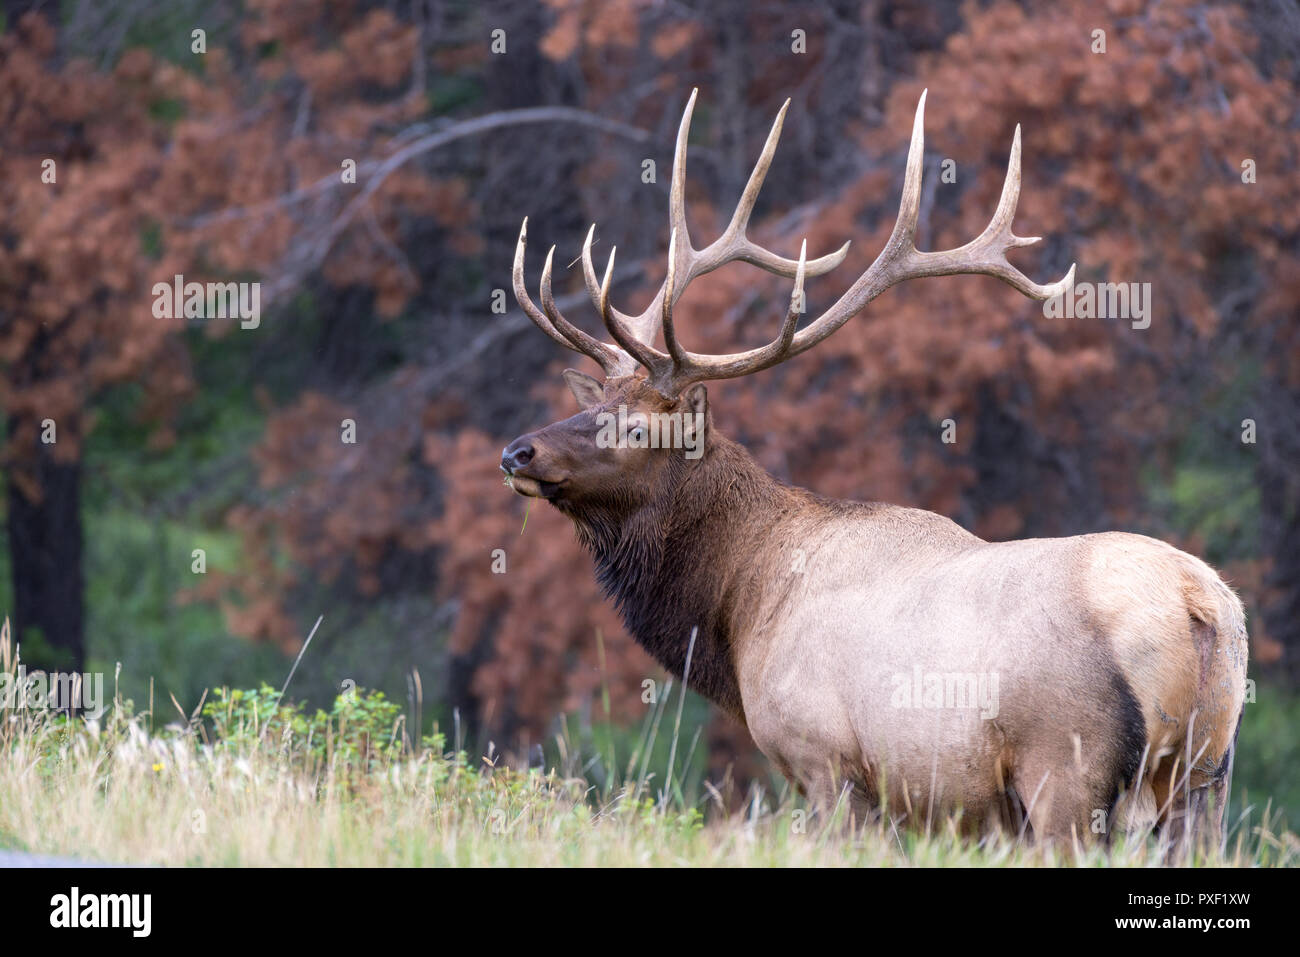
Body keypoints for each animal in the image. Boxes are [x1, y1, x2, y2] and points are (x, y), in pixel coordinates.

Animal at [499, 89, 1248, 842]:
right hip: (1205, 777)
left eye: (633, 426)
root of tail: (1200, 606)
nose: (516, 450)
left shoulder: (824, 759)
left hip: (1066, 767)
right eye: (595, 403)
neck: (740, 609)